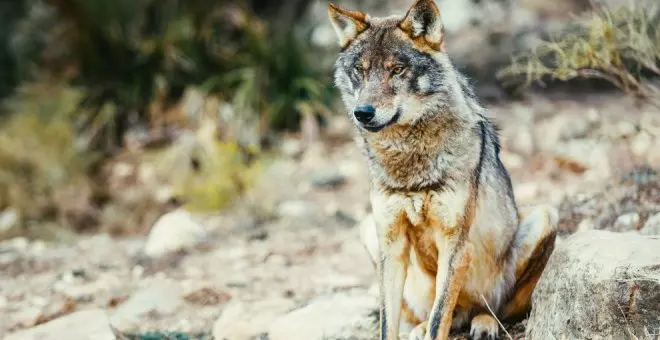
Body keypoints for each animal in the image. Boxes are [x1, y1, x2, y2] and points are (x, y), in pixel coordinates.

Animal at [328, 0, 560, 340]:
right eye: (361, 70)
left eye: (397, 70)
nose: (363, 113)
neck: (409, 163)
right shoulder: (391, 244)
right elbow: (389, 324)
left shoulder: (454, 245)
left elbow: (441, 319)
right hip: (369, 231)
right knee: (435, 314)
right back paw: (422, 326)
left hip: (545, 217)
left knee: (497, 308)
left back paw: (485, 323)